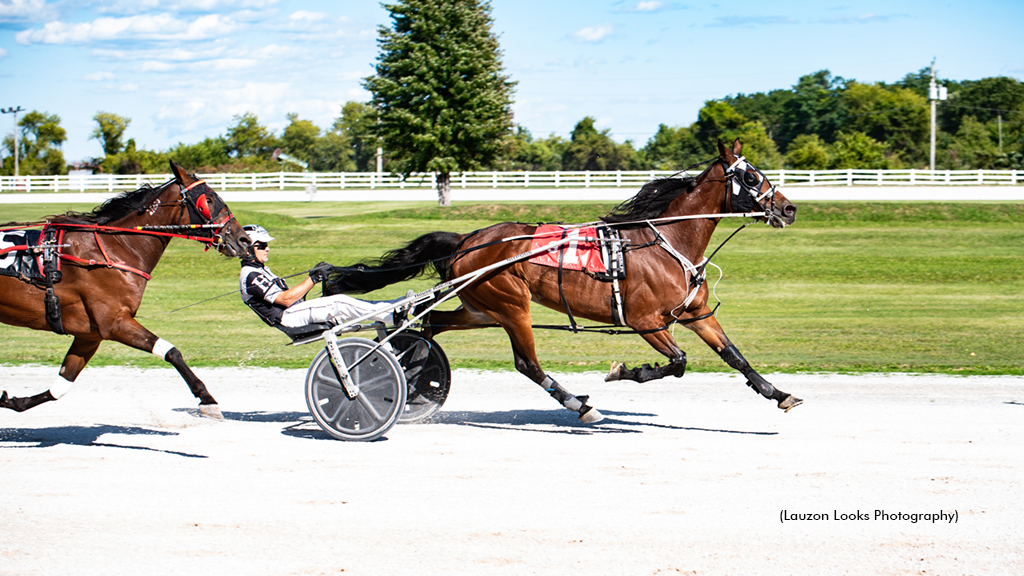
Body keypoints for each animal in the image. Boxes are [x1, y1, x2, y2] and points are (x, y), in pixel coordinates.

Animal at [1, 161, 252, 416]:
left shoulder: (89, 334)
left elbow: (61, 385)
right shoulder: (114, 322)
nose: (244, 239)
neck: (116, 247)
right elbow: (171, 351)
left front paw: (14, 401)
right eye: (208, 199)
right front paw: (206, 398)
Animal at [325, 136, 798, 420]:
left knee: (428, 322)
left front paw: (779, 394)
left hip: (481, 307)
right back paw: (578, 404)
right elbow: (678, 363)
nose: (789, 208)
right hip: (511, 305)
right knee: (526, 363)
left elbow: (734, 355)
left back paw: (413, 367)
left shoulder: (695, 313)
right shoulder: (645, 321)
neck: (665, 242)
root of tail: (464, 240)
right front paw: (624, 371)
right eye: (751, 176)